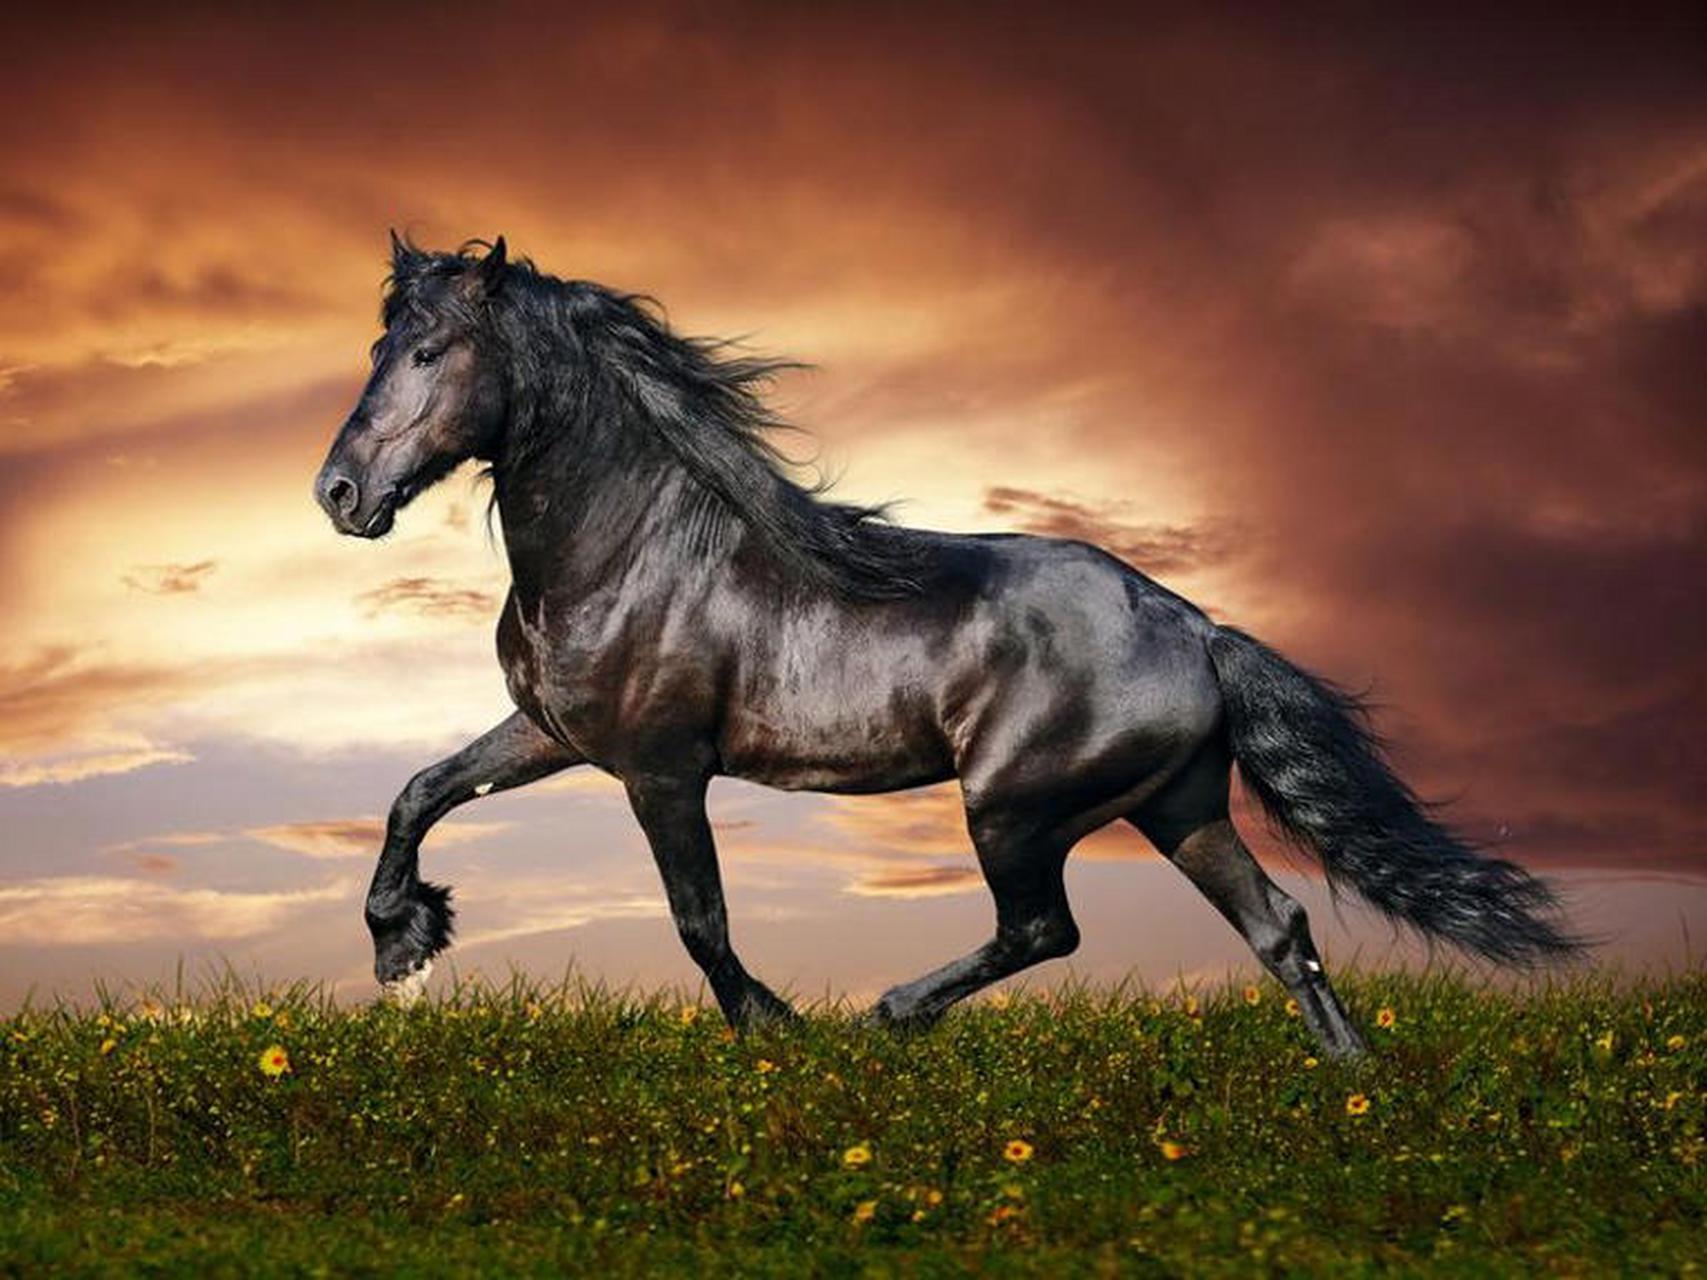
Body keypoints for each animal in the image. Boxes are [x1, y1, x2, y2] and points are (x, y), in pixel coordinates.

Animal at [314, 235, 1581, 1056]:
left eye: (430, 352)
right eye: (379, 346)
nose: (339, 493)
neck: (632, 545)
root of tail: (1196, 628)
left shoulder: (660, 767)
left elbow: (698, 917)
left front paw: (775, 1030)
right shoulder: (555, 731)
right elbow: (420, 789)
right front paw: (403, 941)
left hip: (1013, 804)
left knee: (1045, 926)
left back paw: (890, 1012)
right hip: (1177, 804)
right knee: (1279, 926)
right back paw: (1354, 1088)